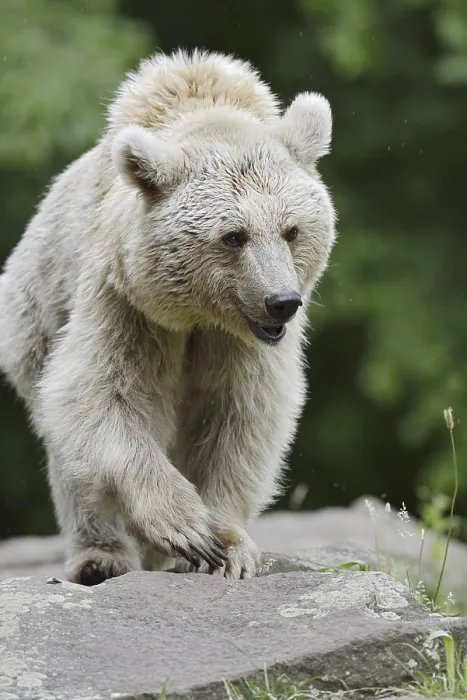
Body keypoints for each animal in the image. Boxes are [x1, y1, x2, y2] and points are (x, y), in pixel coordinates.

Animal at [0, 50, 336, 583]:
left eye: (292, 230)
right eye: (234, 235)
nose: (281, 301)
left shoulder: (240, 343)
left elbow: (239, 415)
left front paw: (227, 547)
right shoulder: (126, 300)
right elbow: (100, 392)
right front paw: (186, 528)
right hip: (33, 321)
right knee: (71, 455)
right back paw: (101, 558)